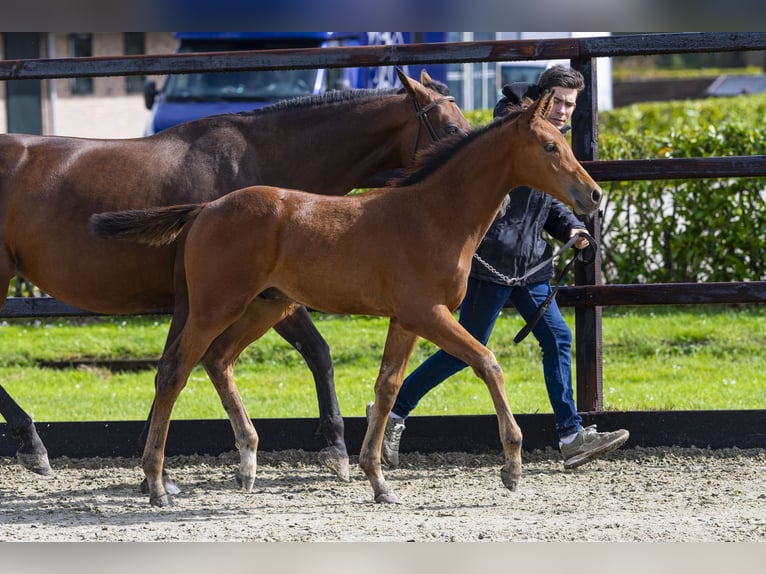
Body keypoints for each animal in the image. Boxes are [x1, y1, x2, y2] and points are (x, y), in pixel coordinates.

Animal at [0, 69, 470, 486]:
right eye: (448, 126)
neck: (259, 161)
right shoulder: (237, 295)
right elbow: (304, 352)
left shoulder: (245, 294)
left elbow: (308, 353)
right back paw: (32, 445)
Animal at [90, 92, 603, 506]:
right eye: (550, 146)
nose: (595, 196)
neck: (434, 215)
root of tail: (206, 209)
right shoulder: (428, 314)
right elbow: (487, 362)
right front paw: (511, 468)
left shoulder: (406, 320)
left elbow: (387, 387)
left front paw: (378, 481)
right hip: (216, 306)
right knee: (175, 372)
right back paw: (158, 485)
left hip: (265, 305)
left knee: (218, 361)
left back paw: (247, 465)